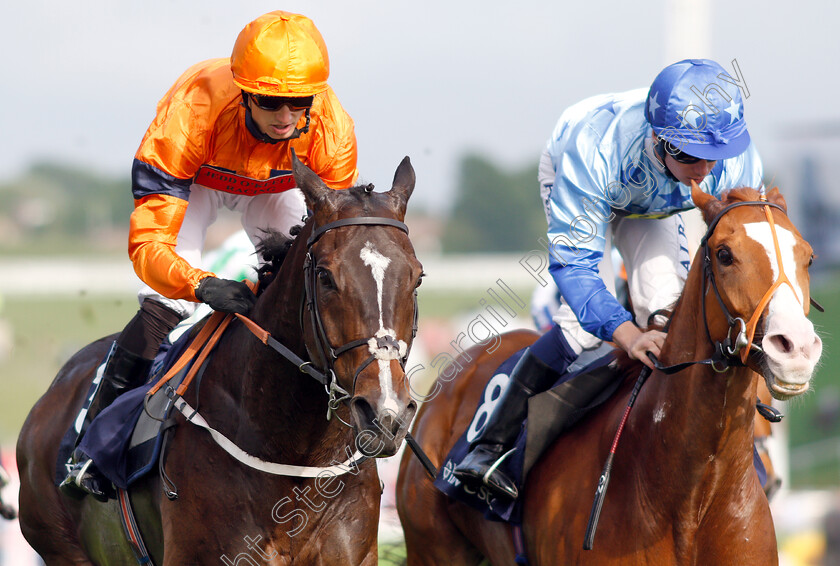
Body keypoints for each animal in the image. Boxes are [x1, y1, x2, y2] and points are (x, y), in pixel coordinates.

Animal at [18, 153, 426, 564]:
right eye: (326, 277)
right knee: (161, 304)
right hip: (60, 544)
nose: (385, 413)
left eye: (418, 277)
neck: (296, 457)